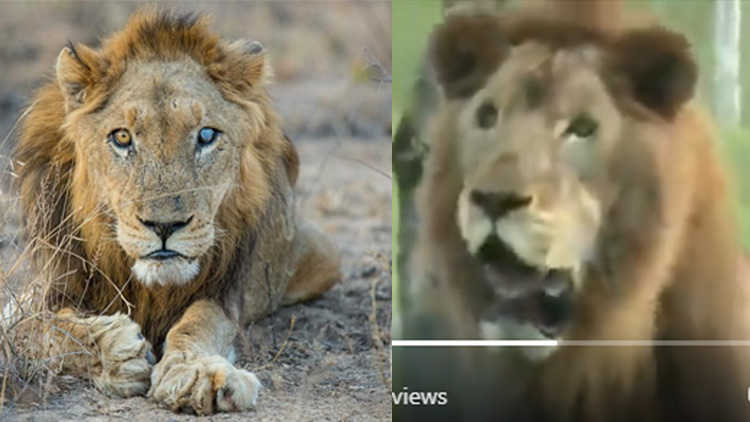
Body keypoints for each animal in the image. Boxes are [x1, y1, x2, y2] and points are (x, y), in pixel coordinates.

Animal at [11, 9, 340, 415]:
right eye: (122, 137)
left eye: (206, 135)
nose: (164, 225)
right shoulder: (36, 293)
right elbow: (42, 326)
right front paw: (114, 351)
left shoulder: (225, 292)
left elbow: (200, 322)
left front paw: (198, 374)